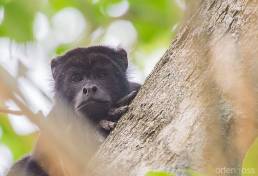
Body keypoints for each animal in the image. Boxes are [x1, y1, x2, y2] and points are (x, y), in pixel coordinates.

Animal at [7, 46, 141, 176]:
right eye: (76, 78)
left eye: (101, 75)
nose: (89, 88)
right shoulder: (55, 119)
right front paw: (102, 124)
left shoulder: (135, 87)